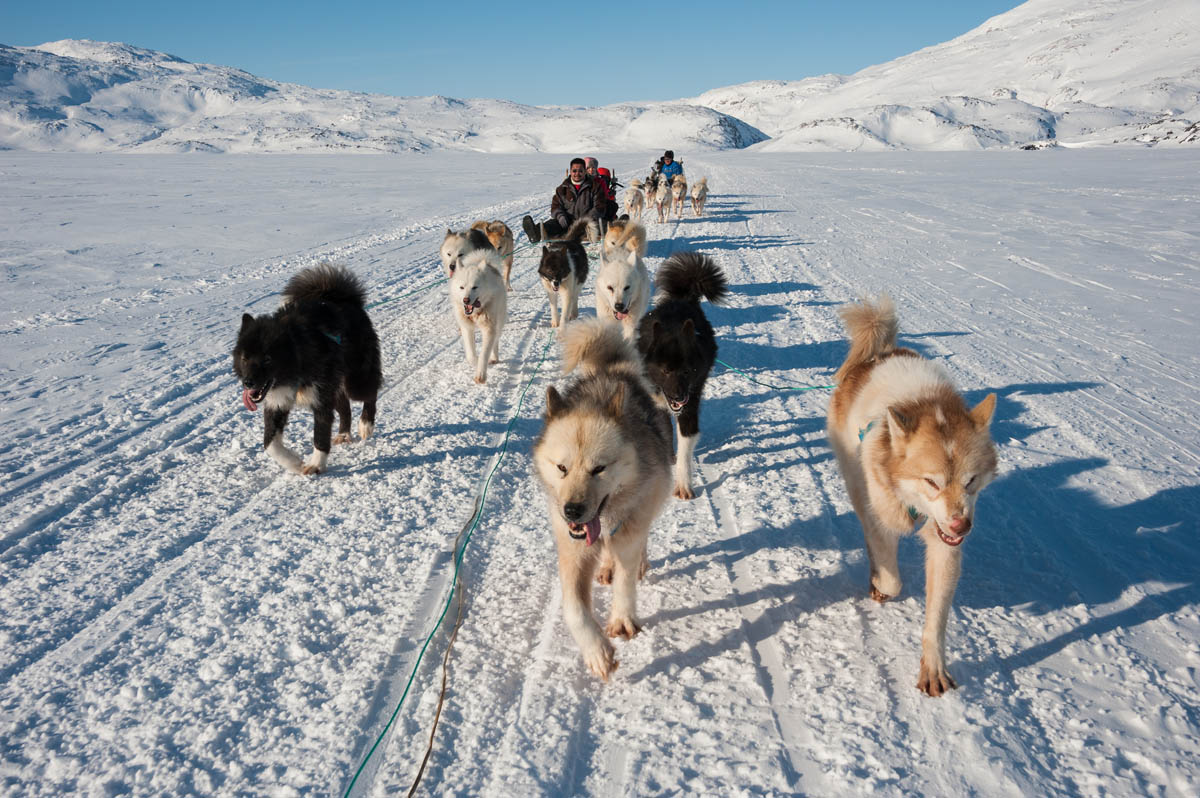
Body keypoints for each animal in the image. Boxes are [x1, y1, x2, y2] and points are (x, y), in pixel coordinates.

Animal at [231, 261, 381, 472]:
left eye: (267, 359)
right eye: (244, 358)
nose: (248, 383)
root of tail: (340, 297)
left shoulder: (320, 400)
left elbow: (320, 435)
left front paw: (316, 465)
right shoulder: (277, 402)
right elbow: (270, 444)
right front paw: (294, 463)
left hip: (355, 379)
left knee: (370, 393)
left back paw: (366, 424)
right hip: (334, 386)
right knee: (345, 408)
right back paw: (343, 434)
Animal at [448, 250, 508, 384]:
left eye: (474, 287)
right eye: (462, 287)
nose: (465, 300)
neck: (476, 313)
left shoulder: (489, 329)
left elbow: (484, 354)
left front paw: (481, 374)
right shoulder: (466, 329)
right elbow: (471, 355)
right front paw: (475, 364)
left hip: (499, 322)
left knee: (496, 341)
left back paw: (494, 357)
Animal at [535, 316, 676, 676]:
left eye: (599, 469)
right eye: (562, 468)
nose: (572, 511)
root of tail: (614, 370)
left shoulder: (628, 532)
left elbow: (625, 581)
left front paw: (623, 620)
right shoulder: (572, 551)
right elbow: (573, 607)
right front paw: (596, 650)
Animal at [633, 249, 724, 499]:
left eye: (687, 370)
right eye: (665, 370)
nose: (678, 396)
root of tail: (682, 299)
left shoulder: (691, 402)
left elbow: (685, 445)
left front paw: (683, 484)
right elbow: (664, 431)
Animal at [830, 295, 998, 696]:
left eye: (971, 480)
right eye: (931, 481)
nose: (962, 525)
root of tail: (881, 353)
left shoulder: (945, 545)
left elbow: (936, 619)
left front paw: (934, 668)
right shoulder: (882, 517)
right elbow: (891, 578)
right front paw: (881, 584)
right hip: (856, 484)